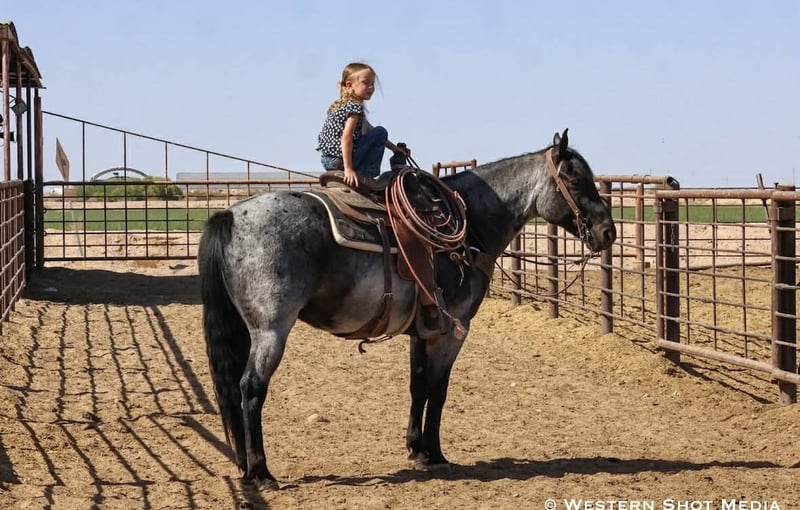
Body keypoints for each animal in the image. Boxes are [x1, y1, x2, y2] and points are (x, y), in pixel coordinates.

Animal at [197, 129, 616, 485]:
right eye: (574, 179)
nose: (607, 232)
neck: (469, 226)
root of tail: (230, 215)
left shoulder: (423, 330)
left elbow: (418, 386)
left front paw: (416, 449)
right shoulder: (453, 329)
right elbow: (439, 389)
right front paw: (436, 453)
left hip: (245, 329)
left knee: (231, 390)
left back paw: (243, 465)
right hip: (271, 330)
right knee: (251, 387)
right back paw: (262, 472)